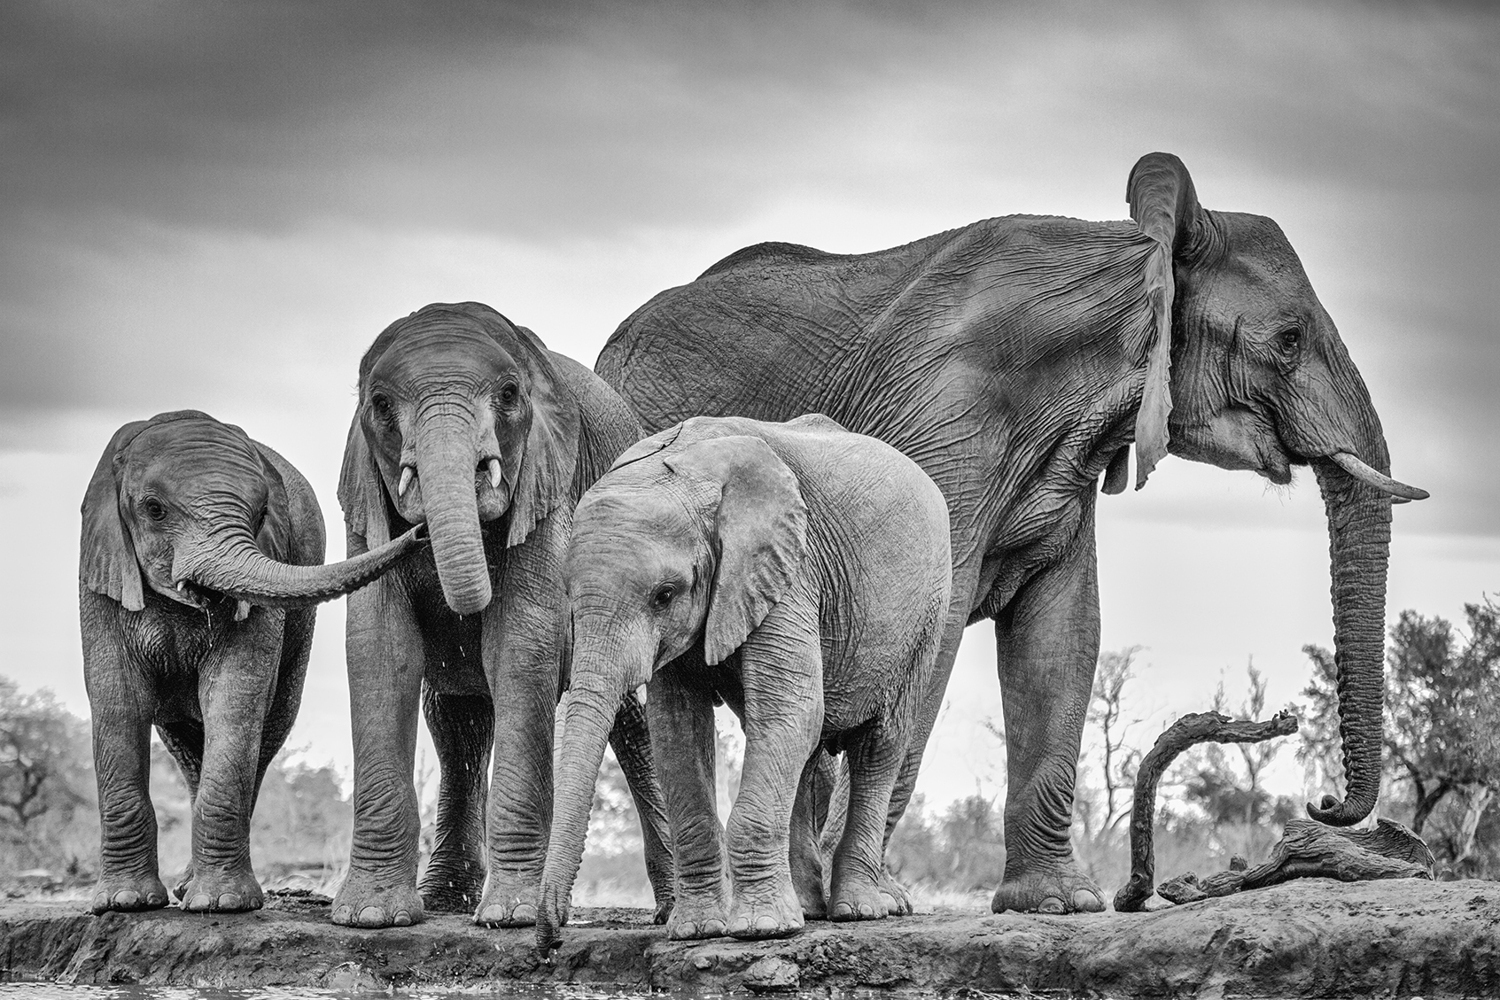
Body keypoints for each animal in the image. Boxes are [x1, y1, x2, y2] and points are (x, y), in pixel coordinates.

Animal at [79, 409, 424, 914]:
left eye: (261, 515)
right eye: (153, 508)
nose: (420, 531)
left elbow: (235, 693)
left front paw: (221, 904)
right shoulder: (101, 573)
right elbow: (117, 698)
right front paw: (124, 903)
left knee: (266, 727)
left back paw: (195, 890)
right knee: (186, 745)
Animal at [332, 301, 674, 929]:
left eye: (511, 395)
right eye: (381, 407)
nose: (420, 533)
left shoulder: (549, 484)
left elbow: (521, 639)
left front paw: (509, 918)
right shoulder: (365, 506)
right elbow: (380, 645)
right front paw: (370, 917)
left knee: (631, 724)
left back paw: (672, 909)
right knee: (457, 722)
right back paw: (444, 900)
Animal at [535, 414, 951, 948]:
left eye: (664, 595)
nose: (551, 939)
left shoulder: (789, 570)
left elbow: (789, 707)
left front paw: (760, 931)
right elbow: (677, 728)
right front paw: (696, 930)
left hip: (927, 616)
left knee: (880, 744)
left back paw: (857, 911)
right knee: (807, 750)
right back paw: (810, 909)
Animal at [595, 152, 1428, 915]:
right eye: (1288, 340)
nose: (1325, 804)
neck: (1132, 260)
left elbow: (1064, 633)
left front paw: (1055, 903)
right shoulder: (943, 423)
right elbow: (938, 630)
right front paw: (875, 901)